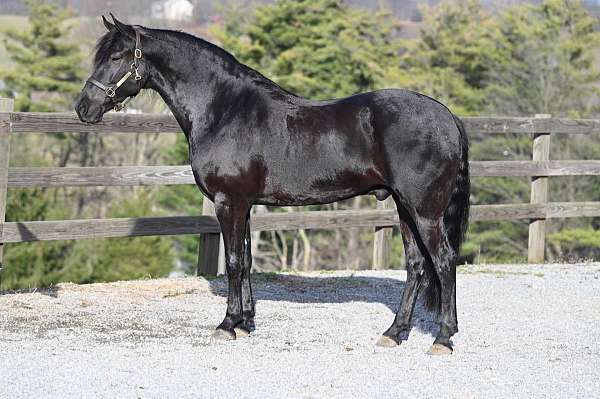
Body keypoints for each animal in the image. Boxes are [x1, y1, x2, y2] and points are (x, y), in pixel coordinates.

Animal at [75, 14, 468, 356]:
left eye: (116, 56)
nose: (83, 107)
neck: (224, 110)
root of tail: (447, 116)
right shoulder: (245, 204)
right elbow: (247, 259)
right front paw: (246, 322)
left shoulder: (228, 202)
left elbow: (234, 261)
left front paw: (227, 325)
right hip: (404, 208)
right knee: (416, 265)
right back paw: (394, 333)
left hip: (424, 211)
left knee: (444, 261)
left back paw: (442, 338)